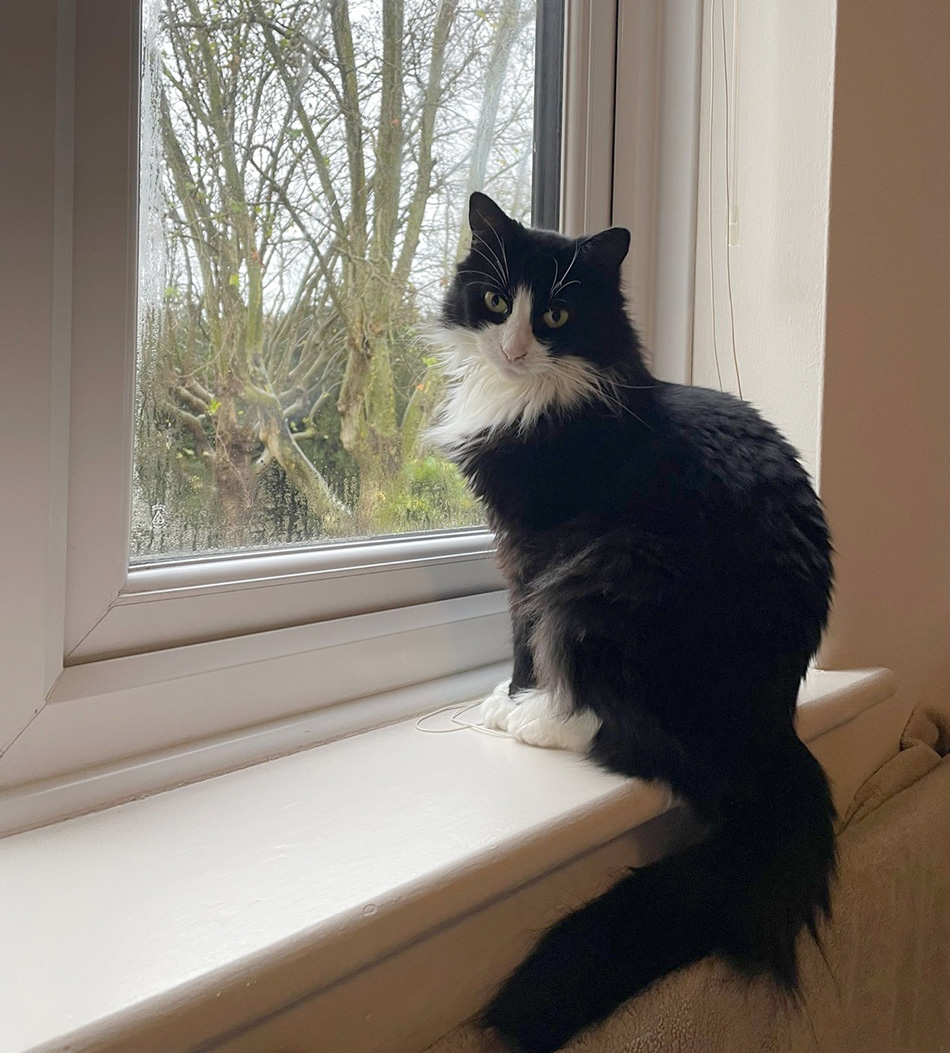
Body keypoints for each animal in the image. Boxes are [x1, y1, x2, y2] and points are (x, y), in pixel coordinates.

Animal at [433, 193, 842, 1048]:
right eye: (496, 301)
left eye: (555, 315)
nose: (515, 348)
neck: (548, 397)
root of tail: (774, 731)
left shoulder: (532, 551)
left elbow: (519, 638)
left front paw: (511, 701)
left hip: (608, 581)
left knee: (632, 742)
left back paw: (540, 723)